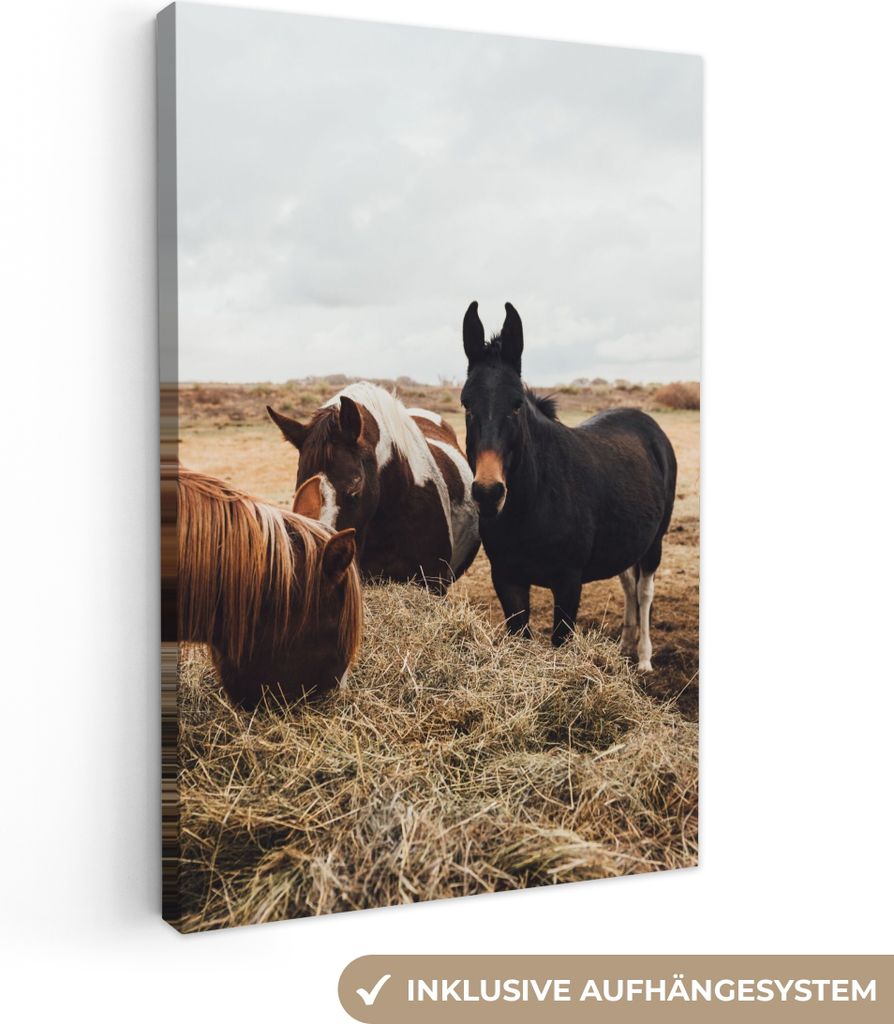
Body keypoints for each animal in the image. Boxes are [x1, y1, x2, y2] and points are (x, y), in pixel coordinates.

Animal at [460, 302, 677, 671]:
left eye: (517, 404)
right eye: (466, 404)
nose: (488, 493)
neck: (534, 503)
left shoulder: (568, 582)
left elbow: (561, 640)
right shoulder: (507, 578)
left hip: (655, 542)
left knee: (644, 591)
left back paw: (644, 659)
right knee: (628, 585)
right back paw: (624, 646)